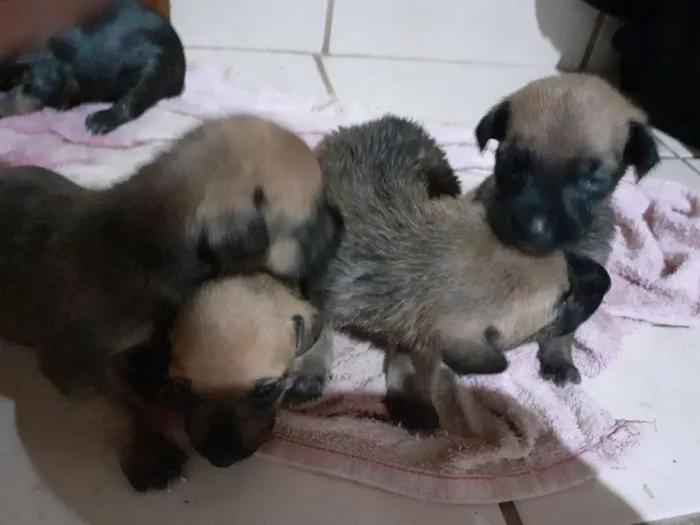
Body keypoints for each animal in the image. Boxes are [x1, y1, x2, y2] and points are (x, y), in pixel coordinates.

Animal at [308, 116, 608, 432]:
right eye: (563, 300)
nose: (606, 277)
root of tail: (392, 119)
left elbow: (411, 358)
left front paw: (411, 398)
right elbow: (316, 330)